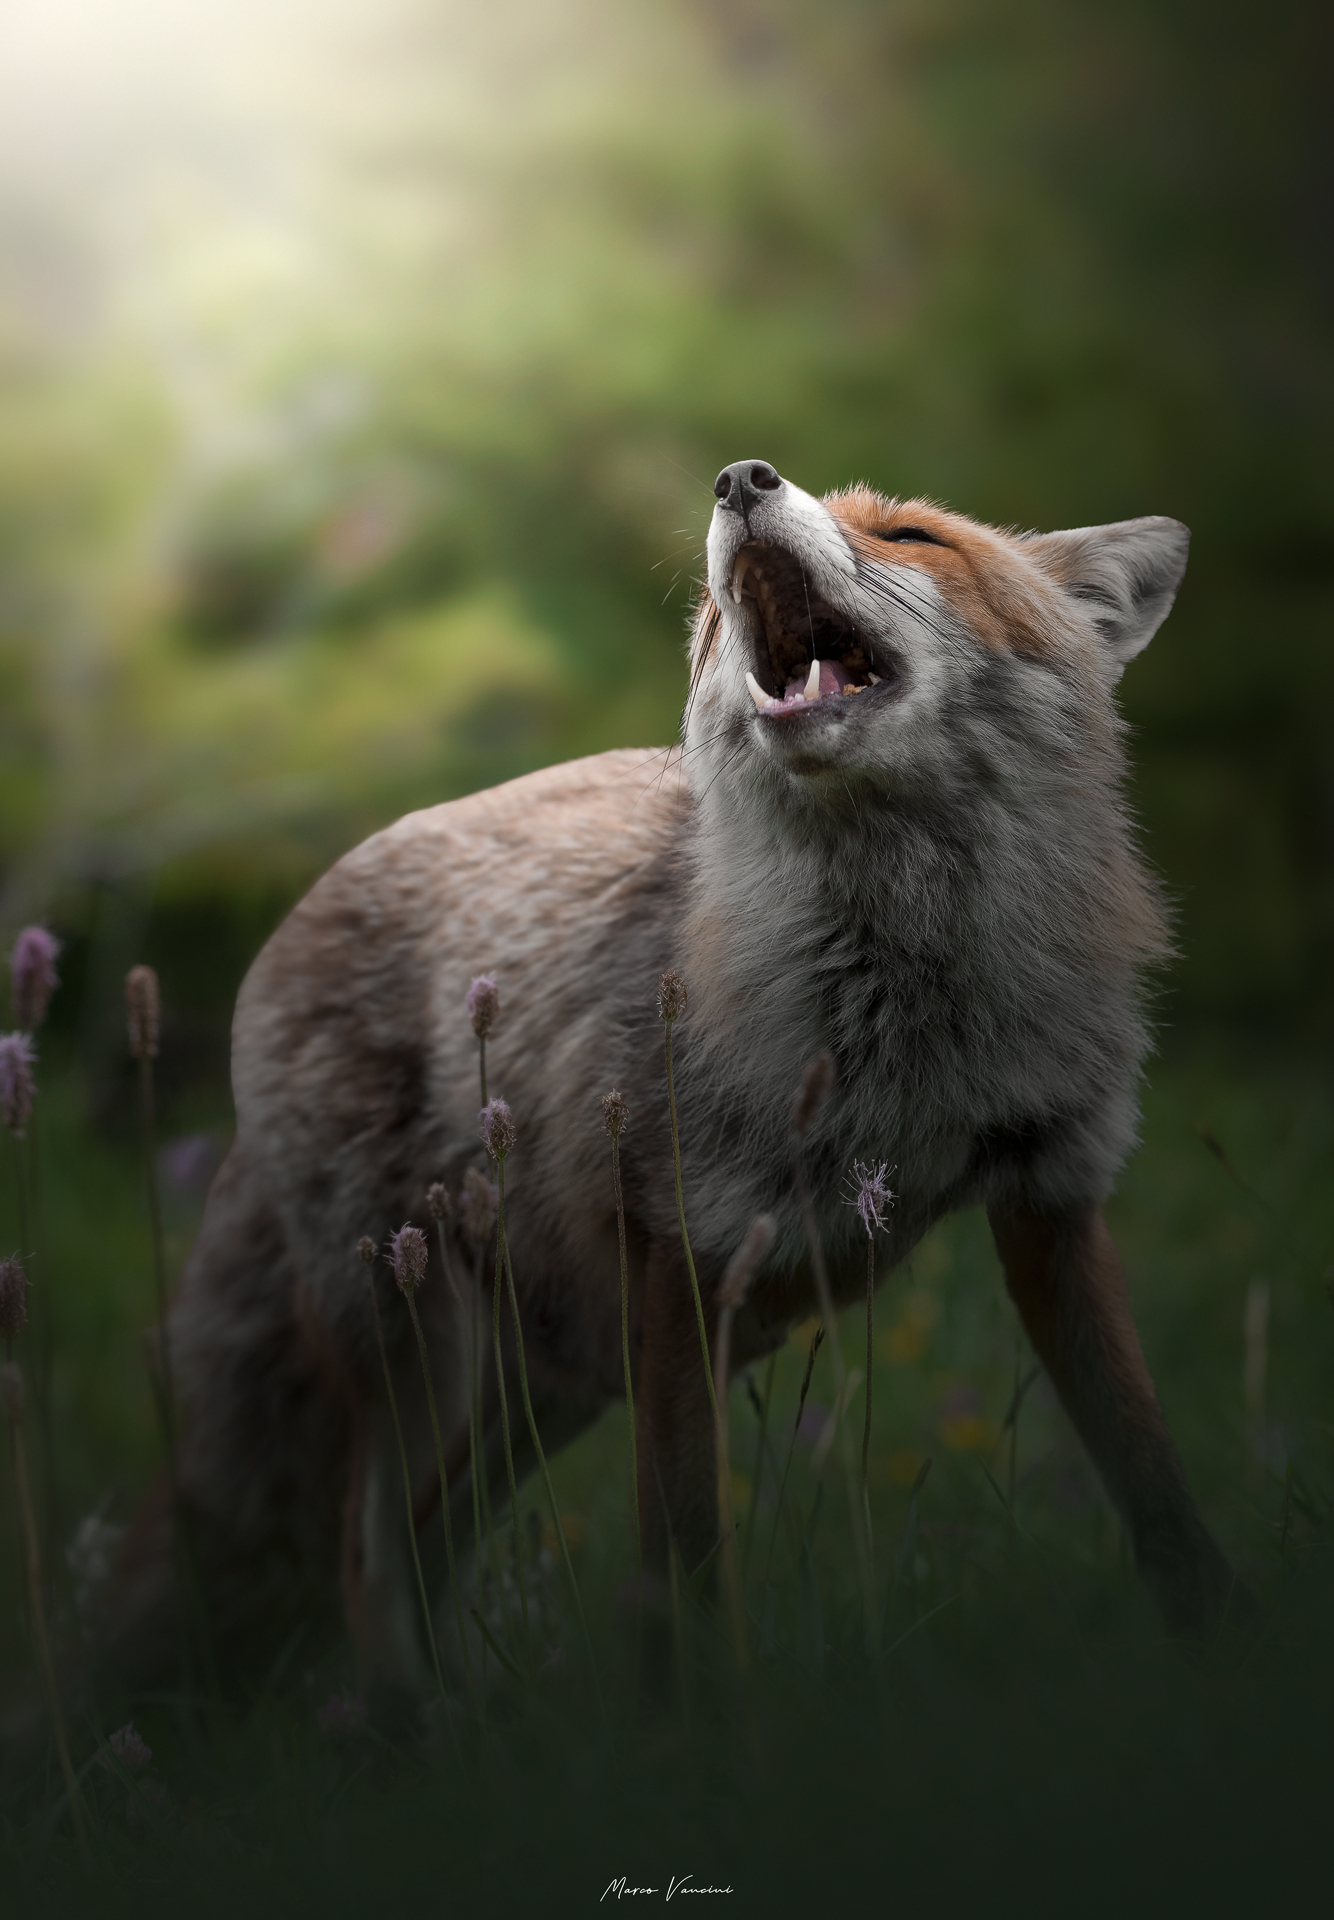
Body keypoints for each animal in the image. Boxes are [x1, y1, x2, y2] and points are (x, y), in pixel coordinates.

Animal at [106, 457, 1238, 1700]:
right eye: (706, 622)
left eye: (909, 536)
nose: (741, 477)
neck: (909, 1025)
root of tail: (311, 894)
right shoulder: (685, 1253)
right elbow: (683, 1572)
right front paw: (693, 1730)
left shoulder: (1053, 1198)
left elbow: (1156, 1490)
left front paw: (1220, 1658)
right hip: (429, 1349)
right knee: (368, 1562)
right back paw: (413, 1730)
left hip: (549, 1387)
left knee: (421, 1543)